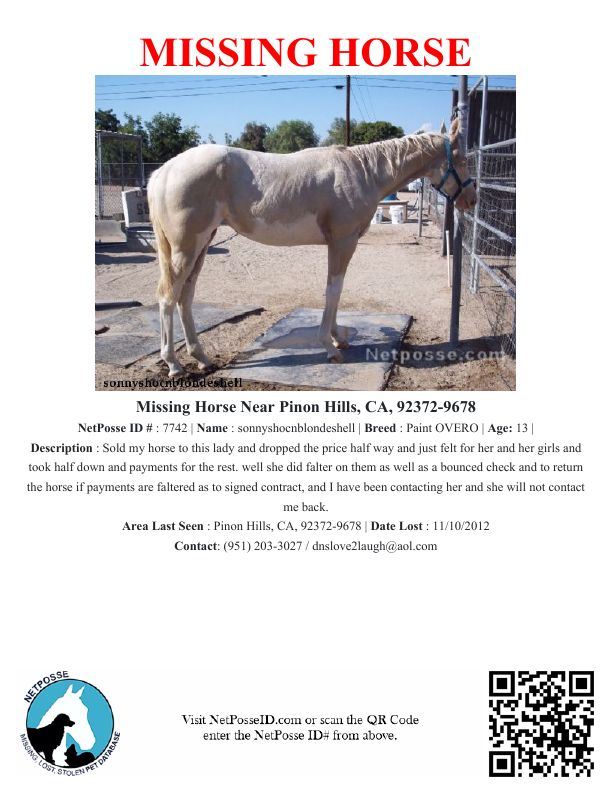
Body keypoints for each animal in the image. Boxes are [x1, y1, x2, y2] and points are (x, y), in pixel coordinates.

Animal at [147, 118, 476, 377]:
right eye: (462, 160)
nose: (472, 200)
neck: (363, 172)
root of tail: (163, 172)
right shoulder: (343, 242)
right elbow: (333, 290)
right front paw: (330, 346)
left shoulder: (341, 244)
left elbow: (337, 291)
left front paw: (338, 338)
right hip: (186, 248)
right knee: (167, 297)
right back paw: (174, 364)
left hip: (202, 244)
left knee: (185, 296)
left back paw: (201, 358)